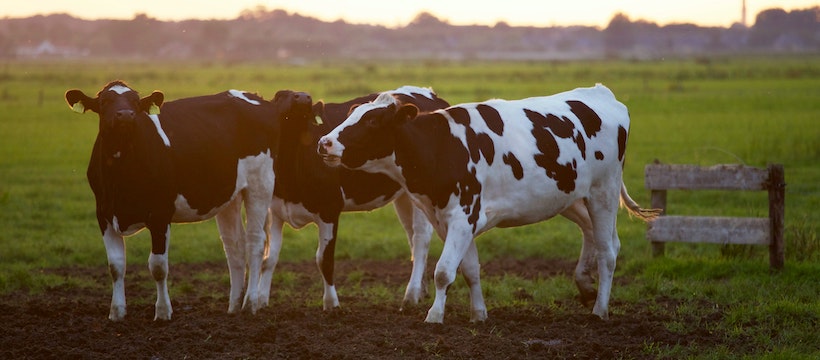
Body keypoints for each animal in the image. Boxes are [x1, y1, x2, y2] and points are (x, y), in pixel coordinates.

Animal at [64, 81, 312, 320]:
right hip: (229, 195)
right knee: (234, 246)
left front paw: (163, 312)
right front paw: (116, 312)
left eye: (135, 101)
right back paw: (233, 305)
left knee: (255, 242)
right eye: (104, 101)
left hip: (260, 184)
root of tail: (256, 97)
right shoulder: (104, 213)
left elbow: (158, 266)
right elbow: (115, 265)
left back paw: (250, 303)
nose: (125, 115)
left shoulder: (160, 214)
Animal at [260, 86, 452, 310]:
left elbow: (324, 259)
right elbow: (269, 258)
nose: (303, 97)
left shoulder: (330, 209)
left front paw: (331, 304)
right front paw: (258, 301)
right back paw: (421, 291)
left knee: (420, 238)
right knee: (411, 235)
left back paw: (411, 295)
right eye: (280, 96)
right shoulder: (275, 210)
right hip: (405, 196)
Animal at [318, 84, 664, 324]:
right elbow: (469, 269)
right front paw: (479, 314)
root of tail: (602, 93)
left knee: (608, 252)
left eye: (373, 121)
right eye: (351, 115)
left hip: (603, 191)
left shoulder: (463, 216)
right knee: (595, 236)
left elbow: (443, 271)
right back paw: (586, 287)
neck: (442, 146)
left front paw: (434, 316)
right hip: (570, 197)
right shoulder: (450, 220)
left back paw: (600, 309)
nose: (324, 143)